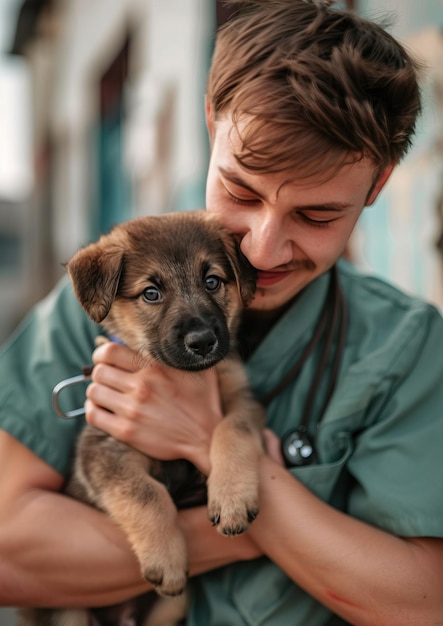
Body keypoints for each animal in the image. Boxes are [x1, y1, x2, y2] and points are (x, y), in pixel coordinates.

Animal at [19, 210, 266, 624]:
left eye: (212, 281)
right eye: (151, 293)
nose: (202, 341)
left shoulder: (243, 402)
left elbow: (232, 429)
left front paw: (231, 498)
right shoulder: (103, 450)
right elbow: (147, 494)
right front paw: (166, 560)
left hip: (169, 610)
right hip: (67, 612)